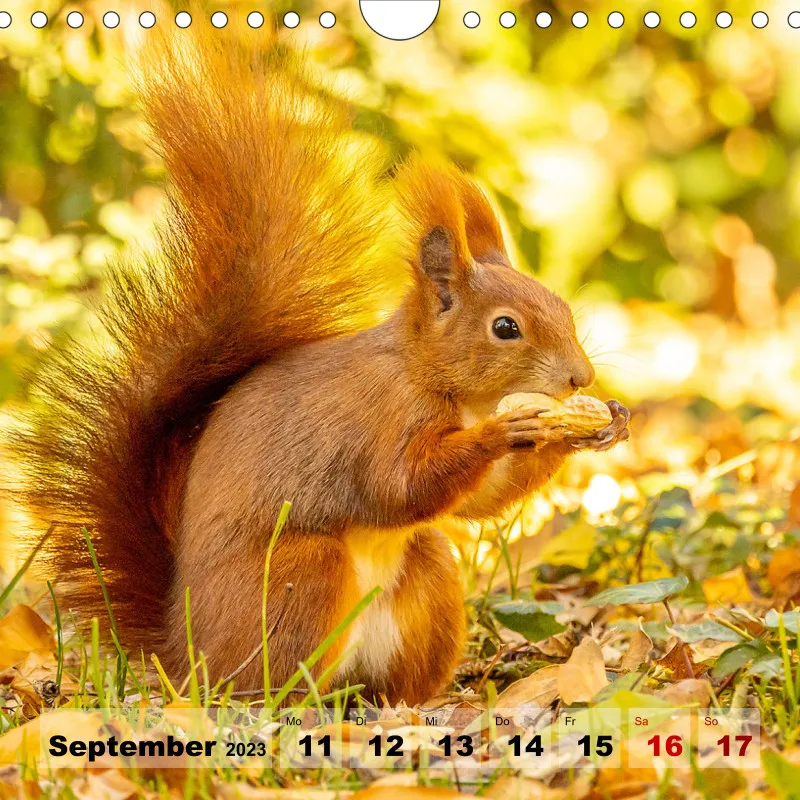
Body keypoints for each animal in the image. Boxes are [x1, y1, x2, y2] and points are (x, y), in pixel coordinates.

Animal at [11, 23, 630, 705]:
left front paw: (602, 424)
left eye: (561, 305)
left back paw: (411, 702)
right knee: (271, 682)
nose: (580, 379)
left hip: (428, 577)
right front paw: (507, 430)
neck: (431, 377)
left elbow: (477, 503)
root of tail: (188, 655)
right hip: (299, 577)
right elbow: (399, 487)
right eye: (506, 328)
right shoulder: (380, 420)